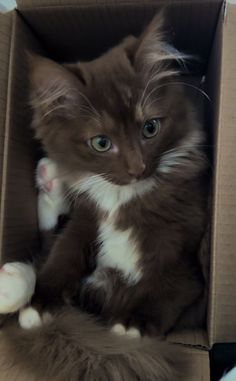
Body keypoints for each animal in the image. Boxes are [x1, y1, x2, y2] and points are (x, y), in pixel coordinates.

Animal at [0, 13, 210, 378]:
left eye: (150, 128)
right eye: (101, 142)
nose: (138, 168)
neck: (121, 199)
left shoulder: (185, 249)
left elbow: (170, 285)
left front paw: (130, 326)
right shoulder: (86, 219)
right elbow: (62, 254)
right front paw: (40, 300)